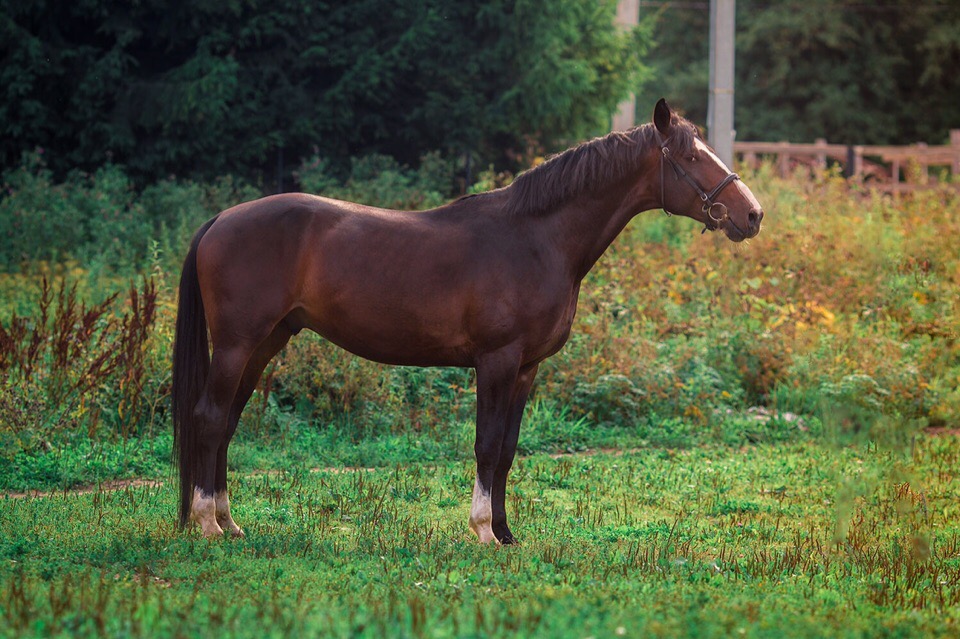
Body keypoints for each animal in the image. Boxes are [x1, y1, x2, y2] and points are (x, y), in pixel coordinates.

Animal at [172, 99, 763, 542]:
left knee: (226, 422)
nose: (753, 214)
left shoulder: (526, 369)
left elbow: (507, 451)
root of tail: (221, 220)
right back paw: (207, 525)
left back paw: (228, 520)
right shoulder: (496, 362)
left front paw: (505, 532)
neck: (536, 239)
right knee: (209, 417)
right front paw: (482, 530)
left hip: (264, 344)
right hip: (236, 345)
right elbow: (486, 445)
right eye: (691, 156)